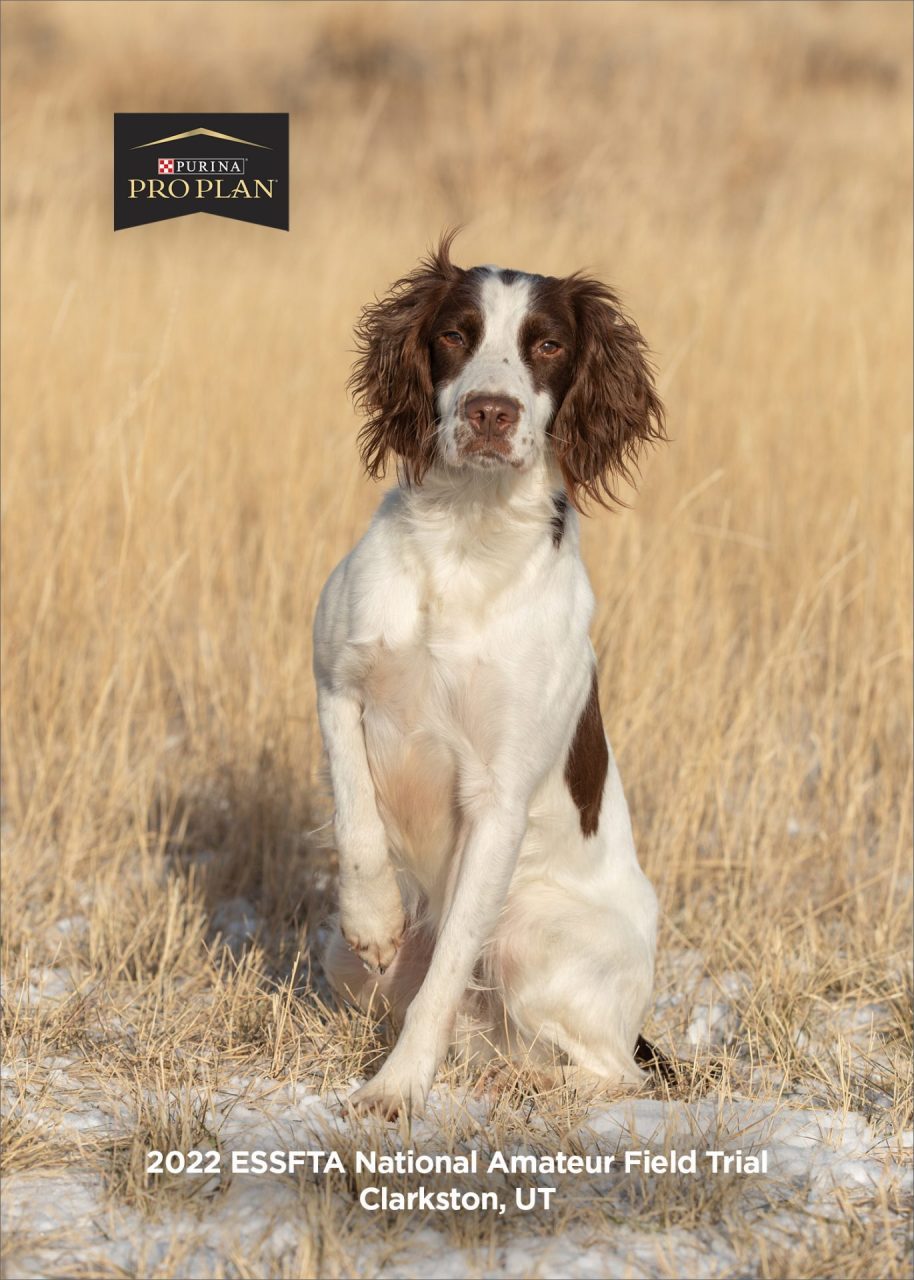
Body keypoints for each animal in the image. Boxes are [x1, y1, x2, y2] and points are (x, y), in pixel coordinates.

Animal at [313, 235, 660, 1116]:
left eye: (550, 345)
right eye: (454, 334)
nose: (490, 413)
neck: (467, 539)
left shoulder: (500, 799)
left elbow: (444, 976)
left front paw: (397, 1088)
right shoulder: (336, 679)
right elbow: (356, 822)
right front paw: (374, 915)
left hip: (532, 932)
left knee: (616, 1070)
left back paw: (520, 1080)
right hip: (348, 967)